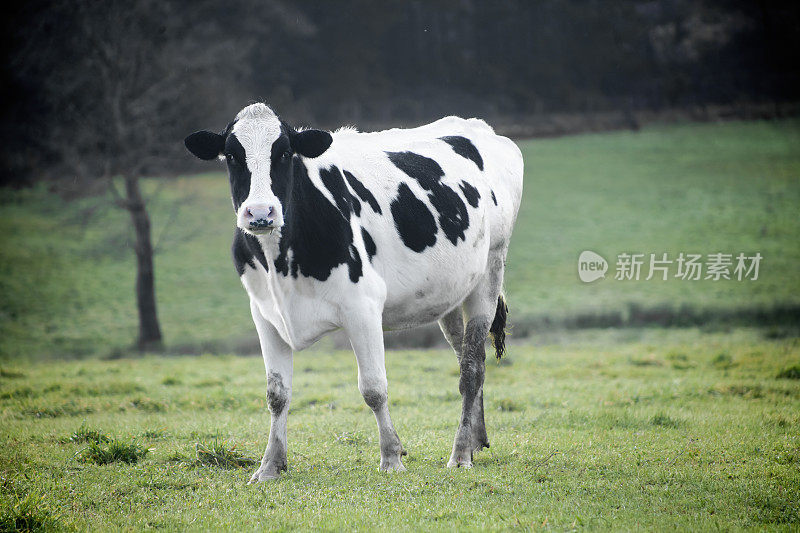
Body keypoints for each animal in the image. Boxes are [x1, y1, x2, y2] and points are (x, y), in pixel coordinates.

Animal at [186, 104, 524, 482]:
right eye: (231, 155)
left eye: (285, 152)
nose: (260, 213)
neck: (282, 264)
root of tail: (478, 126)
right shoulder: (264, 313)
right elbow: (277, 393)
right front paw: (270, 465)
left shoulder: (362, 307)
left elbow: (374, 388)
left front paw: (391, 457)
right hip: (451, 292)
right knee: (466, 354)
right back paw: (477, 440)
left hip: (490, 269)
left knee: (471, 369)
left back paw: (461, 452)